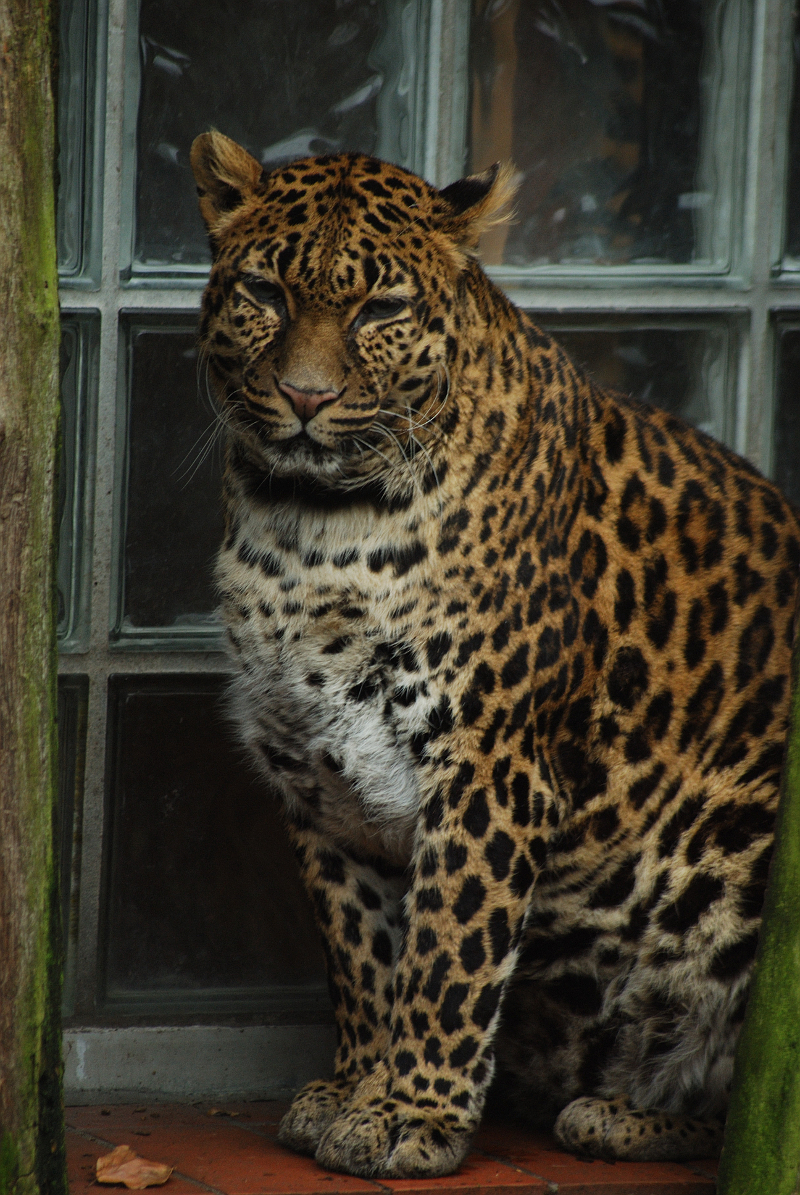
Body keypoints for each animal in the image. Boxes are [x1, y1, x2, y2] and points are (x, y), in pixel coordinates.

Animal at [189, 129, 800, 1179]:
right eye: (265, 291)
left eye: (381, 309)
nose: (306, 396)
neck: (311, 529)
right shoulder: (312, 764)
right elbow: (361, 950)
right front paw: (358, 1088)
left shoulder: (490, 761)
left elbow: (447, 948)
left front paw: (411, 1115)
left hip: (743, 829)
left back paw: (617, 1116)